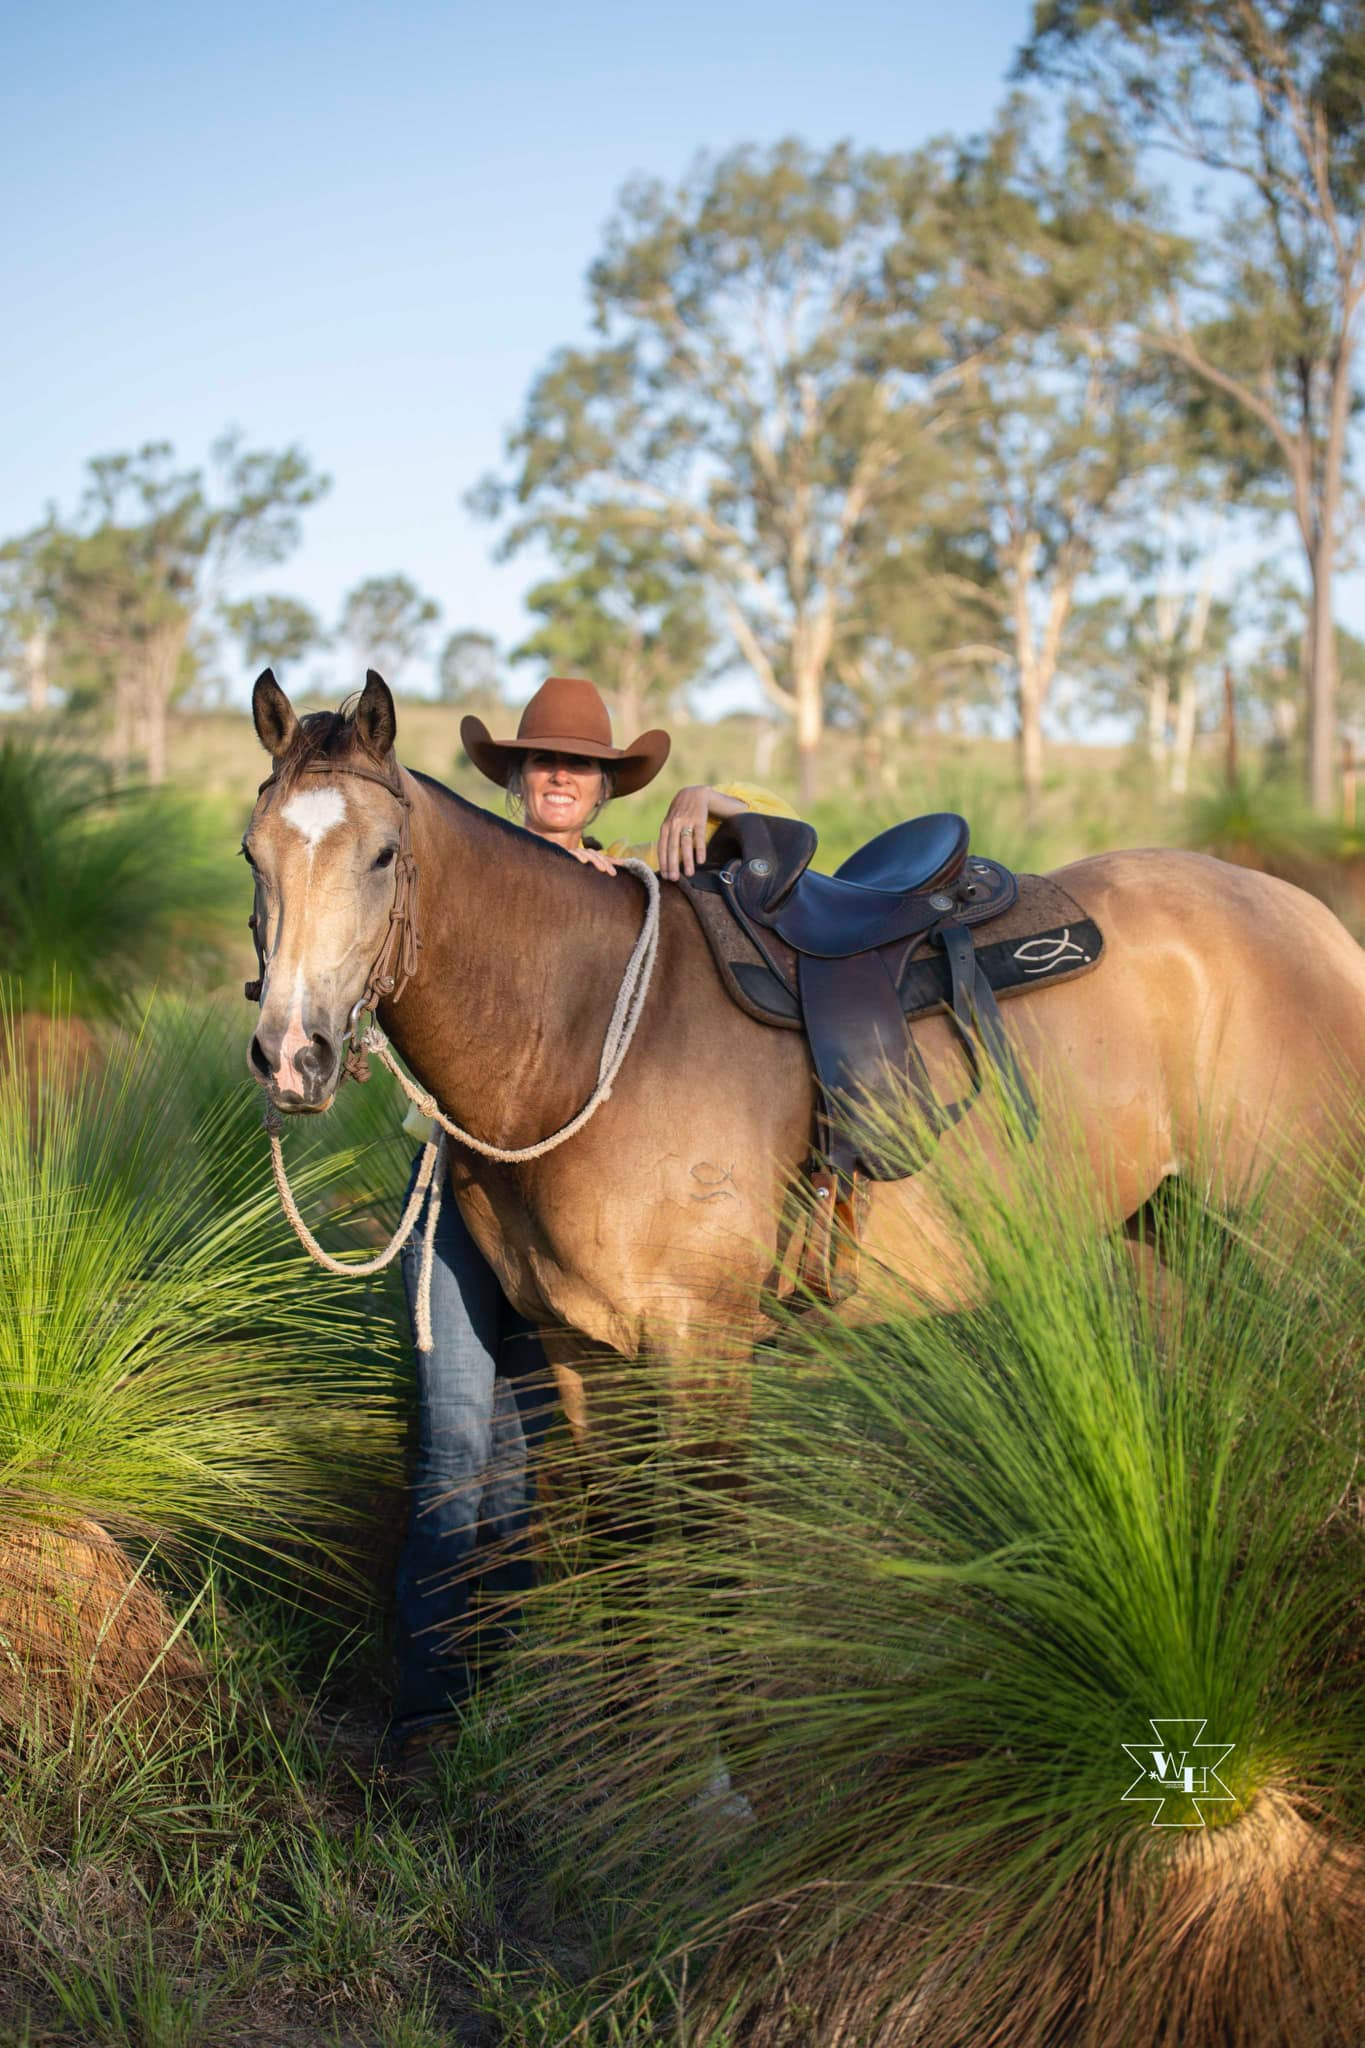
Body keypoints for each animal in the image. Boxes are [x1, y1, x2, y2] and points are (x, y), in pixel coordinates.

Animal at [243, 670, 1365, 1448]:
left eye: (384, 854)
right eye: (252, 854)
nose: (293, 1055)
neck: (581, 1028)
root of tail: (1315, 921)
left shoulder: (702, 1346)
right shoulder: (576, 1350)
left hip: (1288, 1245)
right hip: (1172, 1233)